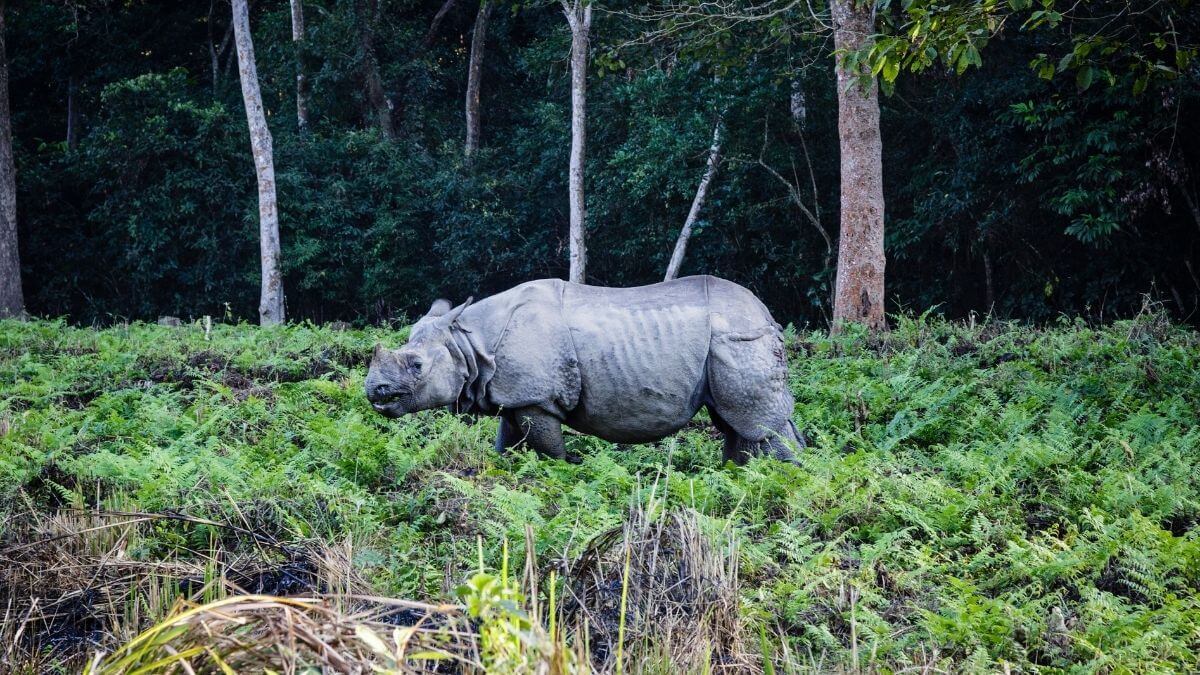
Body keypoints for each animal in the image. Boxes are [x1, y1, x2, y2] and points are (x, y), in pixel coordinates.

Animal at [365, 276, 803, 464]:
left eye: (417, 366)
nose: (374, 391)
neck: (470, 343)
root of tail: (766, 313)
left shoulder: (536, 399)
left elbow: (549, 448)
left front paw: (566, 470)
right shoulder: (515, 395)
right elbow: (507, 442)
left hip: (738, 338)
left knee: (756, 422)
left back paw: (786, 479)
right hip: (730, 340)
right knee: (737, 421)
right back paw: (738, 473)